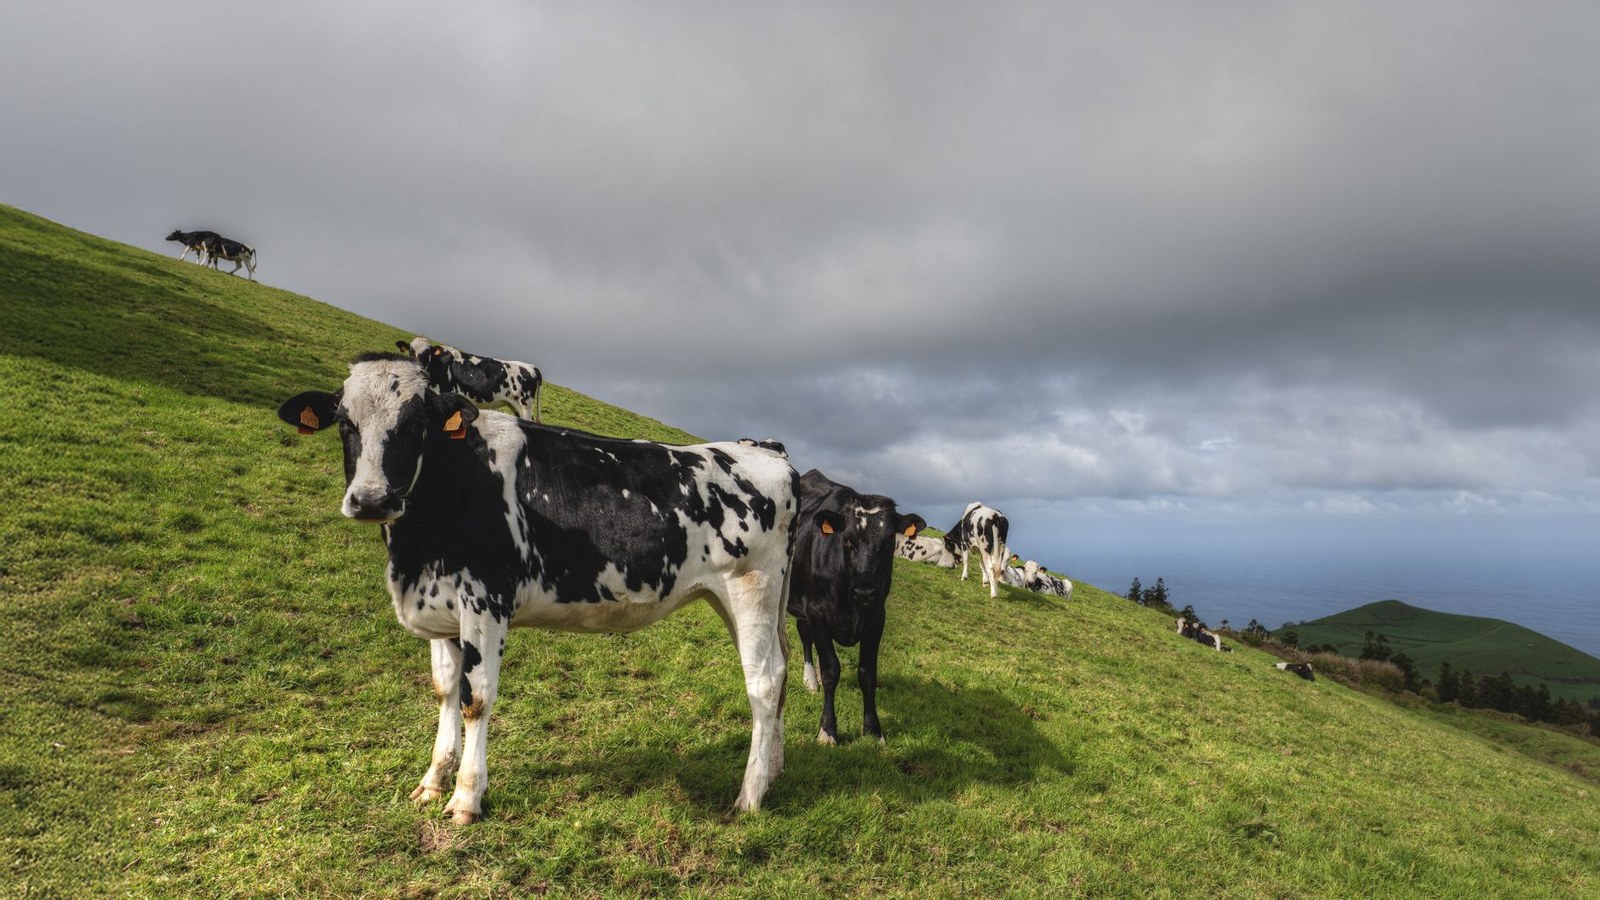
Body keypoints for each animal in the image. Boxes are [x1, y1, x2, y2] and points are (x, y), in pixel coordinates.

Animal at [277, 352, 797, 821]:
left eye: (415, 423)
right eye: (344, 422)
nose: (371, 500)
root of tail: (764, 448)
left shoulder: (485, 600)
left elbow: (475, 698)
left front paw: (466, 797)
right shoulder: (440, 607)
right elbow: (445, 690)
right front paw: (433, 780)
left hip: (751, 587)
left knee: (764, 682)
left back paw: (750, 797)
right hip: (737, 598)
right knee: (783, 668)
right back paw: (774, 773)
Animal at [398, 338, 544, 423]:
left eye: (427, 352)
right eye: (411, 350)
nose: (420, 368)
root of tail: (531, 366)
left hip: (525, 406)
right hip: (515, 406)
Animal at [787, 469, 923, 746]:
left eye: (889, 541)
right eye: (847, 539)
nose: (865, 591)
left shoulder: (876, 619)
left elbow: (867, 674)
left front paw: (873, 729)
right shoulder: (816, 612)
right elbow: (831, 671)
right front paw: (828, 730)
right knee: (804, 637)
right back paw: (810, 679)